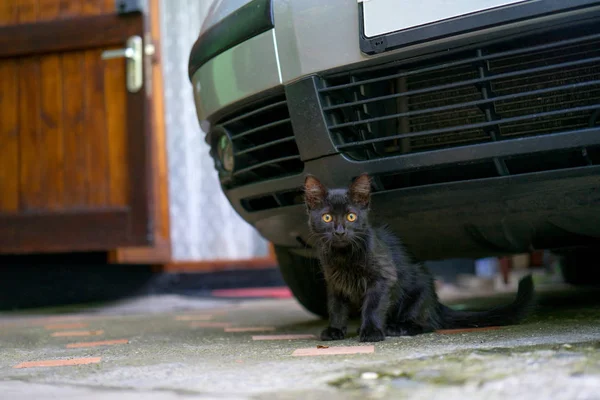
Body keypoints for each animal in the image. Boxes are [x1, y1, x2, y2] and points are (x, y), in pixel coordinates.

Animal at [304, 173, 536, 342]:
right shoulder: (334, 283)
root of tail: (436, 303)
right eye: (327, 217)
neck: (343, 256)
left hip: (417, 294)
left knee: (427, 325)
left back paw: (397, 328)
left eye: (351, 216)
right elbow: (336, 307)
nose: (340, 231)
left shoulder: (383, 277)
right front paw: (335, 329)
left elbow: (373, 306)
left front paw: (371, 331)